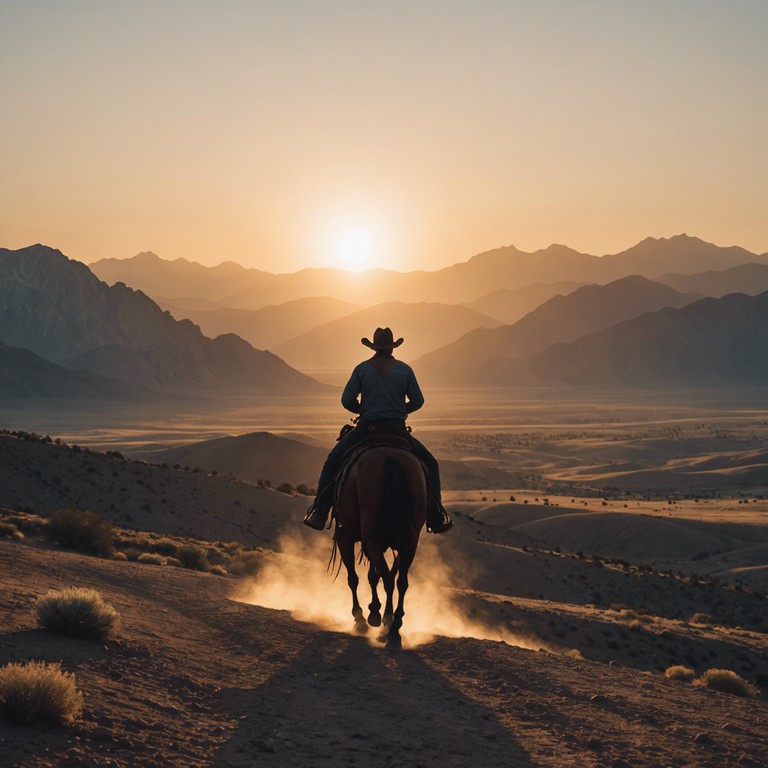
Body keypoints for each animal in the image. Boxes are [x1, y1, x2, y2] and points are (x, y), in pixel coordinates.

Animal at [332, 444, 428, 648]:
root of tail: (391, 459)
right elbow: (376, 575)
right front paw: (376, 611)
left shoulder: (346, 535)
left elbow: (354, 578)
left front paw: (362, 617)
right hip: (409, 539)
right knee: (400, 581)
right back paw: (394, 625)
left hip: (370, 536)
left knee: (388, 579)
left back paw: (386, 625)